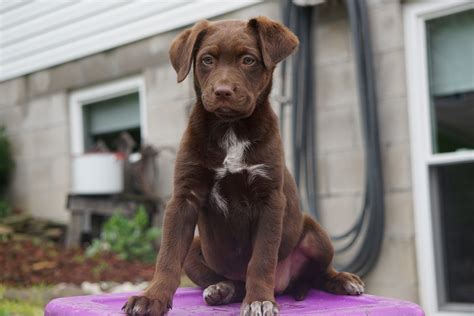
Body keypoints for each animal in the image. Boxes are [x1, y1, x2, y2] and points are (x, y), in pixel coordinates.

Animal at [124, 16, 364, 316]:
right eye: (207, 60)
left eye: (248, 60)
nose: (222, 91)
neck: (231, 128)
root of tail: (283, 285)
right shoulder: (183, 198)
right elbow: (167, 255)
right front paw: (151, 298)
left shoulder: (270, 199)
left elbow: (262, 258)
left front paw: (259, 300)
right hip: (196, 249)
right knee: (231, 281)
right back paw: (221, 290)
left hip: (316, 233)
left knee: (319, 273)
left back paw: (344, 280)